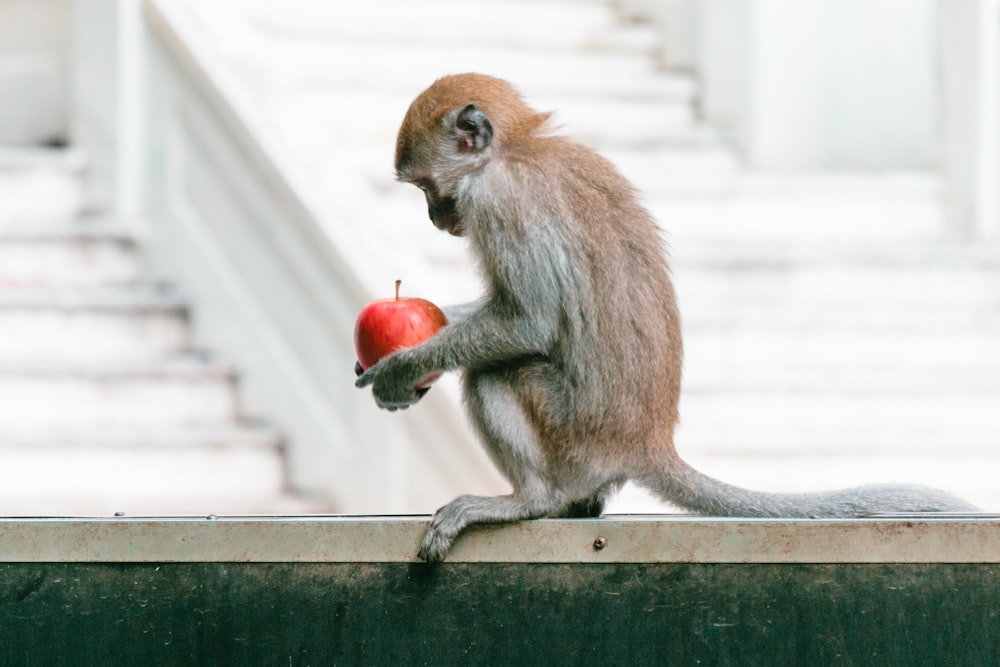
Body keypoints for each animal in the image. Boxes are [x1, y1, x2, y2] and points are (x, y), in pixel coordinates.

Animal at [358, 74, 976, 564]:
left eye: (426, 188)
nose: (433, 217)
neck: (515, 149)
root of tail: (646, 441)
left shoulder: (498, 202)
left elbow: (528, 322)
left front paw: (400, 368)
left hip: (573, 432)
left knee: (494, 373)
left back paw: (529, 502)